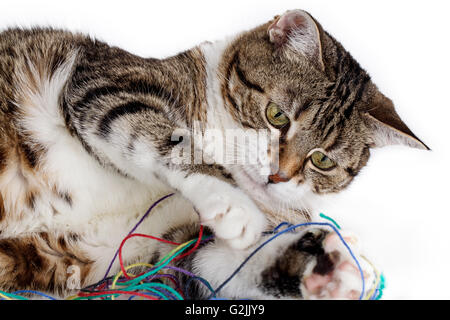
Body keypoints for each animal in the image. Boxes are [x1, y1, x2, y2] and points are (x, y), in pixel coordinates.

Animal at [0, 9, 428, 300]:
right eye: (277, 115)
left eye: (322, 160)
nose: (279, 175)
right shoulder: (105, 85)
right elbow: (168, 141)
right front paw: (232, 203)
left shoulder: (157, 253)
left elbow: (211, 267)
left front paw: (331, 266)